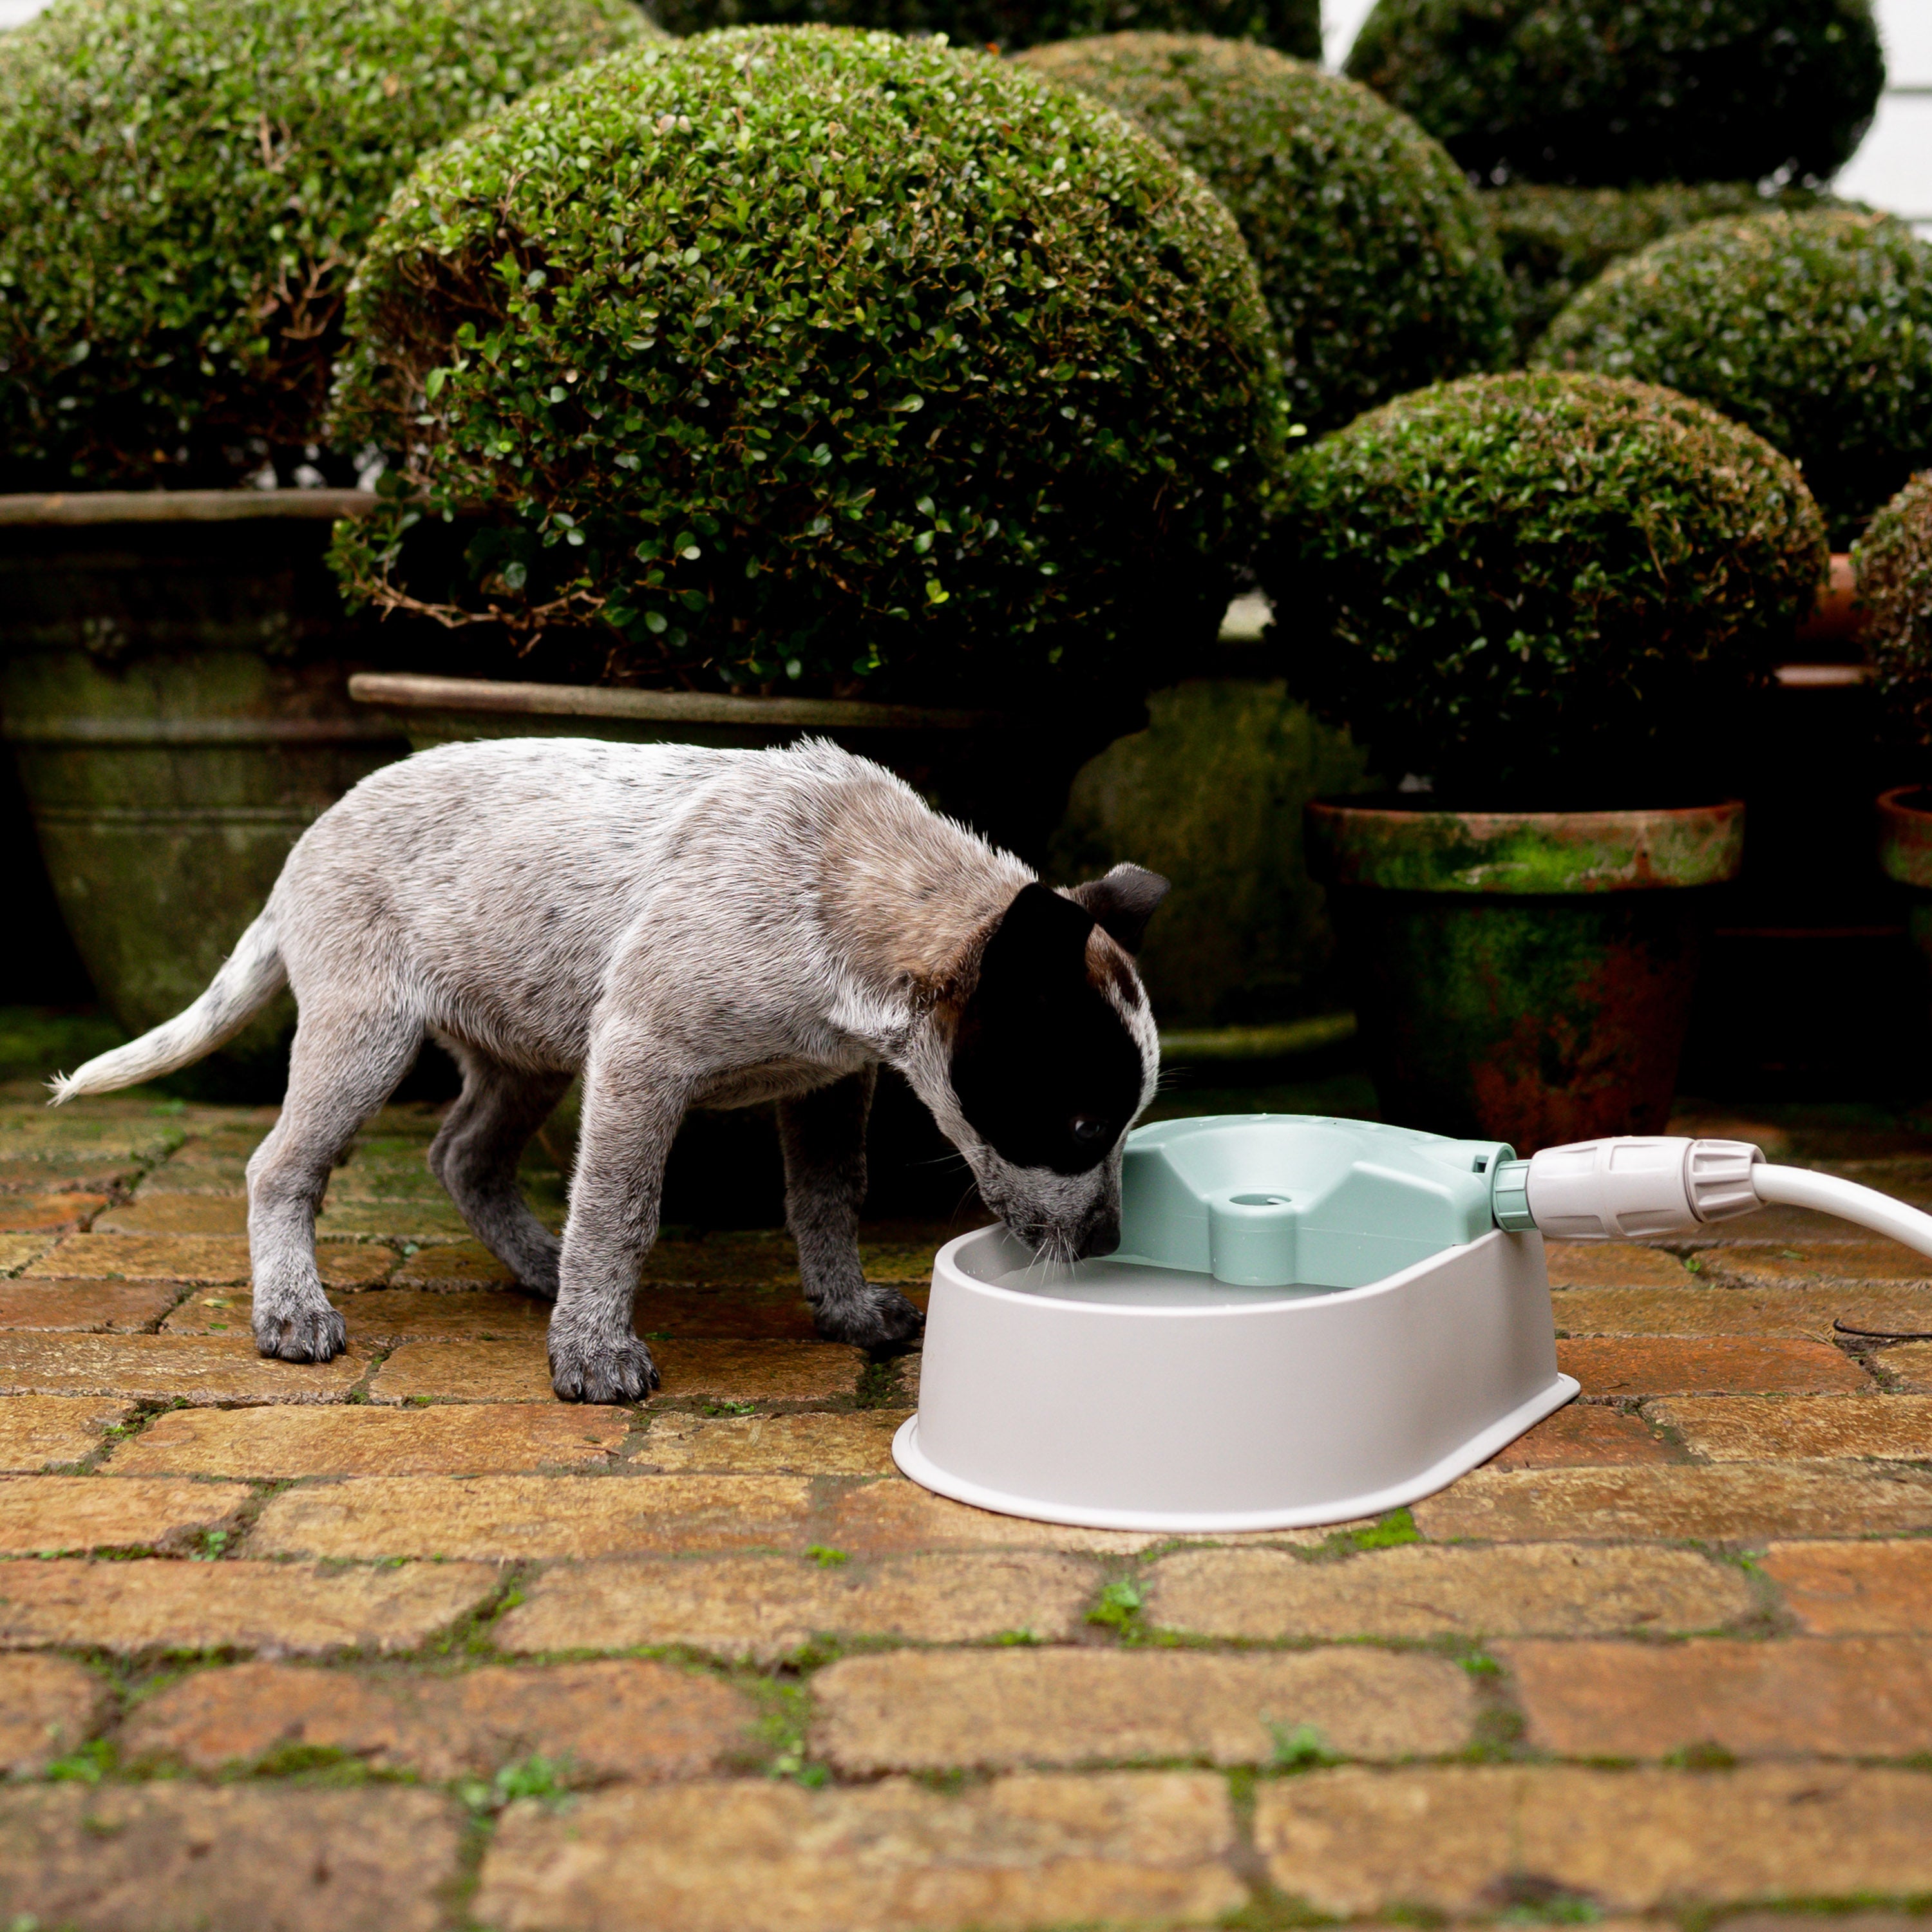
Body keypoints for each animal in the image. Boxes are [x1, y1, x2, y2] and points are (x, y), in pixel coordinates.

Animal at [53, 738, 1167, 1406]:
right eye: (1079, 1124)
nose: (1110, 1244)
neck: (836, 890)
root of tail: (304, 846)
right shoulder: (641, 1056)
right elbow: (620, 1212)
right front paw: (592, 1354)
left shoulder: (824, 1085)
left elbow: (827, 1201)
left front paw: (844, 1310)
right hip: (364, 1036)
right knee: (279, 1169)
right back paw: (290, 1310)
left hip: (525, 1048)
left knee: (464, 1157)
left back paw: (536, 1268)